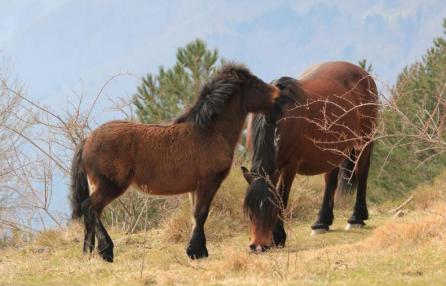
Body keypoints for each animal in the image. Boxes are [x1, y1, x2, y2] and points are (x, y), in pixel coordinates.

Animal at [69, 63, 278, 262]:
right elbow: (201, 214)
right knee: (89, 208)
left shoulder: (195, 188)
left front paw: (197, 250)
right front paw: (196, 252)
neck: (209, 132)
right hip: (110, 185)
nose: (278, 95)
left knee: (91, 214)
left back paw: (88, 253)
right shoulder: (208, 182)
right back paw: (106, 251)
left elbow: (195, 215)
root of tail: (88, 140)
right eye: (256, 84)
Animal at [242, 61, 378, 251]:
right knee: (331, 181)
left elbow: (282, 196)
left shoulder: (290, 166)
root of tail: (364, 74)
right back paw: (321, 223)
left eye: (271, 209)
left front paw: (279, 236)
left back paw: (356, 218)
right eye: (249, 210)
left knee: (362, 171)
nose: (258, 247)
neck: (278, 116)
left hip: (363, 140)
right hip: (332, 150)